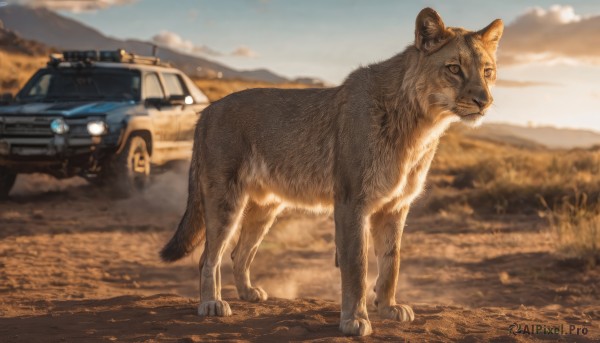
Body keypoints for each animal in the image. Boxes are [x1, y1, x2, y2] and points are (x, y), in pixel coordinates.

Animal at [162, 7, 504, 336]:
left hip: (266, 206)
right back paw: (211, 304)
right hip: (225, 199)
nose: (484, 101)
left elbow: (391, 261)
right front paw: (355, 320)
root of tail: (207, 110)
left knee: (240, 253)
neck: (421, 126)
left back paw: (248, 293)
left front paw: (389, 307)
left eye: (488, 71)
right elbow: (357, 266)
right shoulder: (352, 202)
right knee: (209, 257)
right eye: (454, 68)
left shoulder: (396, 206)